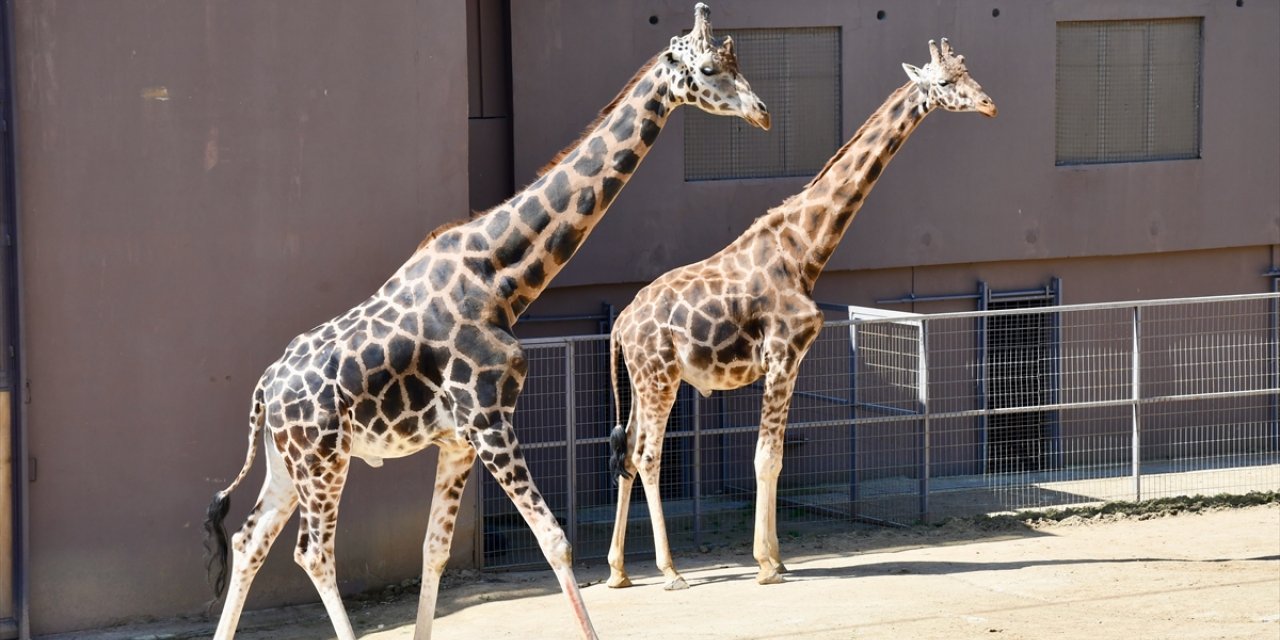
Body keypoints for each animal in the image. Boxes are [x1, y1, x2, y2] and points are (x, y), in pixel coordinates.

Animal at [197, 6, 768, 640]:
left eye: (738, 60)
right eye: (710, 68)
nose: (761, 112)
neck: (498, 277)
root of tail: (264, 390)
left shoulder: (458, 439)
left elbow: (435, 550)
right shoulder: (491, 420)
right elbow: (555, 541)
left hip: (288, 462)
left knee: (249, 539)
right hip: (322, 459)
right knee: (313, 552)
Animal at [604, 38, 993, 588]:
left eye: (968, 73)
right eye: (943, 82)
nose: (989, 104)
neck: (803, 249)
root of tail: (620, 325)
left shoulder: (790, 361)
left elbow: (778, 459)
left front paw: (778, 557)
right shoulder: (783, 355)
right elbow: (767, 459)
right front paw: (767, 565)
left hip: (645, 379)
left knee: (627, 453)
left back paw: (618, 571)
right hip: (659, 377)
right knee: (648, 454)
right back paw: (670, 570)